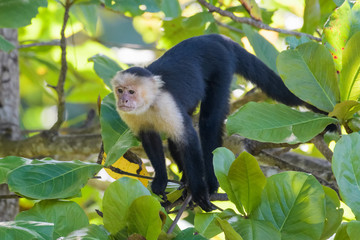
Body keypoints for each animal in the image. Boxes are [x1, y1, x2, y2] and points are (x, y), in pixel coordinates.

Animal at [112, 34, 312, 212]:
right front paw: (160, 181)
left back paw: (209, 182)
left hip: (221, 65)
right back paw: (185, 180)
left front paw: (199, 192)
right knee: (176, 137)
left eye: (131, 92)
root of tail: (213, 37)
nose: (123, 100)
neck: (149, 104)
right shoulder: (132, 116)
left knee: (209, 123)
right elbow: (150, 140)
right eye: (120, 90)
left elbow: (189, 138)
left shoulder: (166, 104)